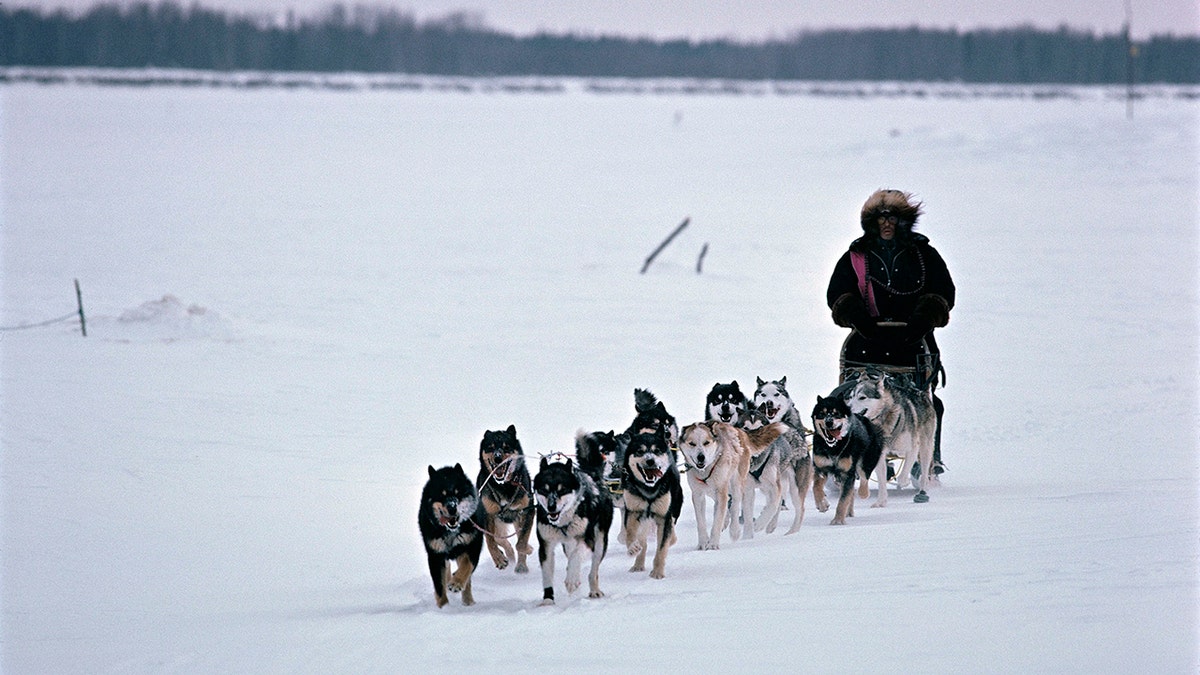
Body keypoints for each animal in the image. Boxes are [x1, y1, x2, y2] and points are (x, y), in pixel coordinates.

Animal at [811, 393, 888, 526]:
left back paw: (863, 494)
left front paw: (837, 520)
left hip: (866, 461)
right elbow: (816, 487)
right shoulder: (821, 468)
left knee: (863, 478)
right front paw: (822, 504)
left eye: (836, 413)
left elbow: (842, 500)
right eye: (822, 413)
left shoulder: (847, 473)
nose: (829, 422)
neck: (834, 448)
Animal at [844, 369, 936, 502]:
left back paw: (923, 490)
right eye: (851, 397)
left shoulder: (913, 447)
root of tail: (920, 392)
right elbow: (882, 481)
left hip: (925, 448)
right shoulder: (880, 454)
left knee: (924, 471)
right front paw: (881, 501)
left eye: (862, 397)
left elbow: (903, 475)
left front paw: (904, 481)